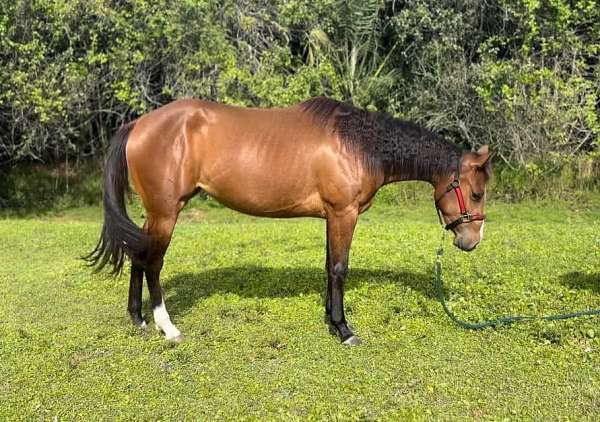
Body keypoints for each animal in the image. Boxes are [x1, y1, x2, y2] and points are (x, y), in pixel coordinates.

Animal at [86, 97, 490, 344]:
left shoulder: (332, 216)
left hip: (154, 213)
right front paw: (344, 329)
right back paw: (167, 326)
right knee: (153, 262)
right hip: (167, 212)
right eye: (476, 193)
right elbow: (340, 268)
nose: (472, 241)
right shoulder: (343, 213)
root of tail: (138, 124)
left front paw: (330, 318)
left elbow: (329, 266)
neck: (359, 145)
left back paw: (138, 318)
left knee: (138, 254)